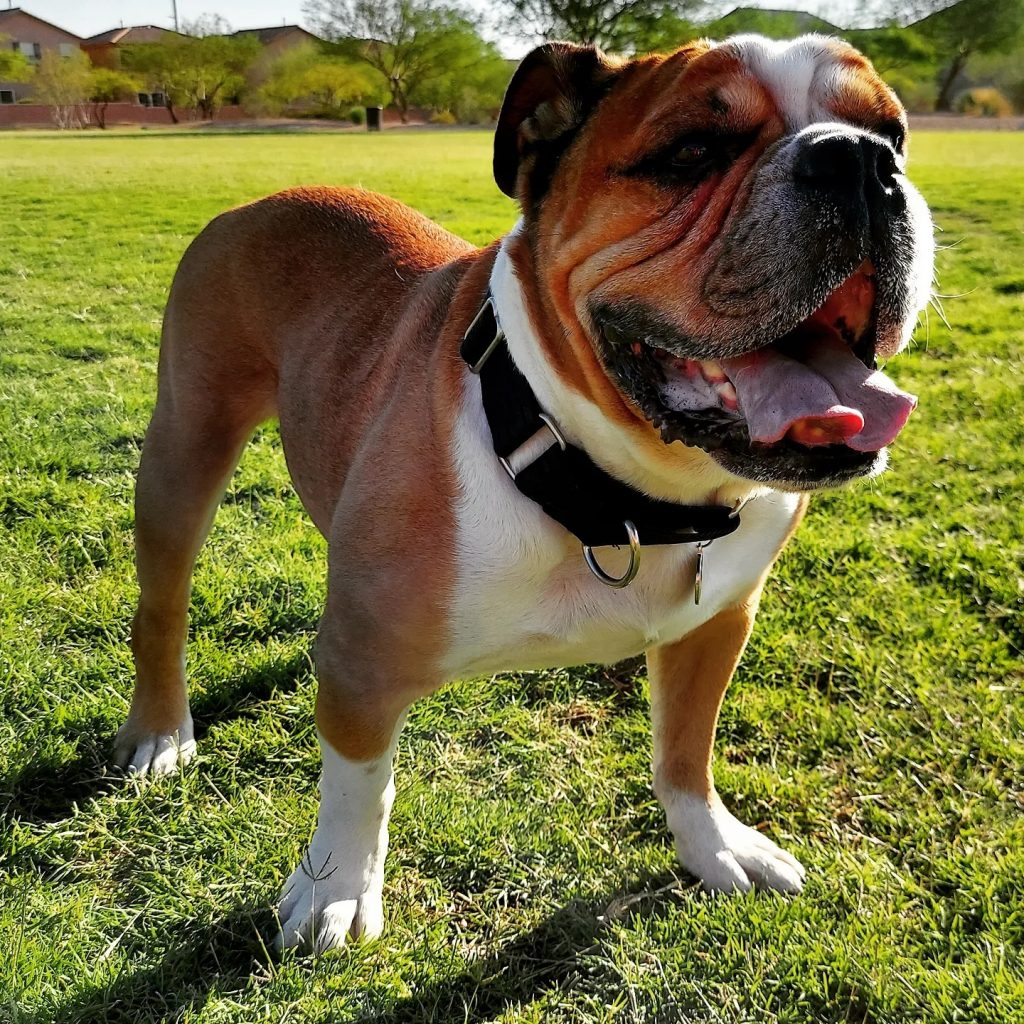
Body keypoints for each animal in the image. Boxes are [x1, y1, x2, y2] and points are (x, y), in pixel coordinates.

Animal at [116, 37, 933, 950]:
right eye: (691, 152)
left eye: (893, 134)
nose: (860, 160)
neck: (611, 489)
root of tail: (261, 200)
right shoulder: (364, 670)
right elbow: (358, 785)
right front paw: (336, 887)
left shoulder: (716, 624)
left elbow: (686, 751)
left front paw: (715, 845)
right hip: (185, 450)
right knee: (163, 606)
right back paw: (160, 730)